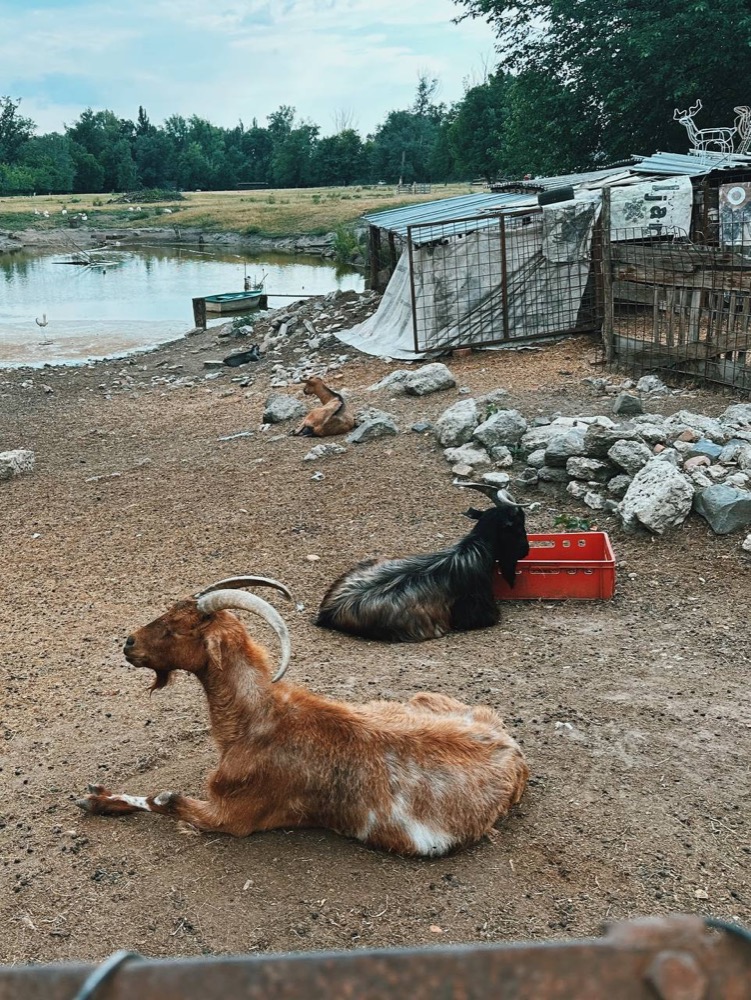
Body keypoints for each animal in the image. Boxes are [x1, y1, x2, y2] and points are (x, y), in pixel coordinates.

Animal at [76, 576, 528, 856]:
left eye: (176, 628)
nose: (129, 643)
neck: (258, 722)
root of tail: (514, 754)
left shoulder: (233, 816)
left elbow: (165, 800)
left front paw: (95, 799)